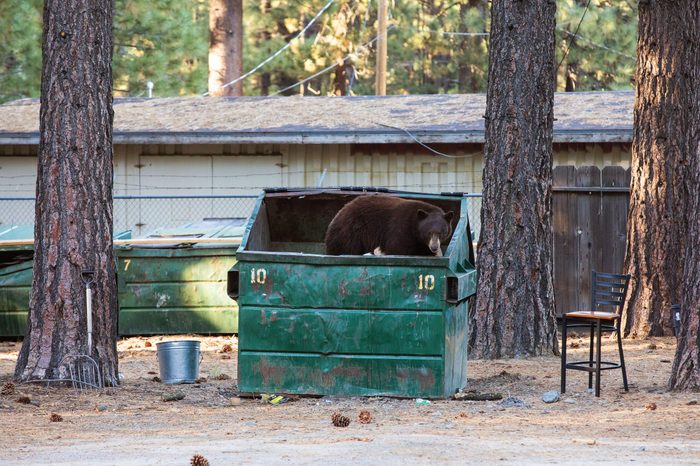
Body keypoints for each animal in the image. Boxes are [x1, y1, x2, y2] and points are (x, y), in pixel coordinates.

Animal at [324, 195, 454, 256]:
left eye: (442, 233)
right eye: (428, 233)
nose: (434, 247)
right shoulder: (401, 228)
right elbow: (398, 248)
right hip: (351, 233)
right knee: (348, 248)